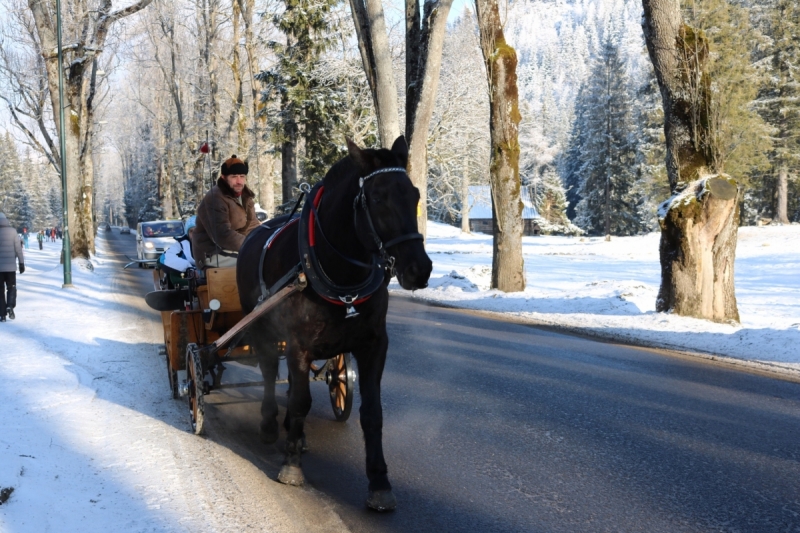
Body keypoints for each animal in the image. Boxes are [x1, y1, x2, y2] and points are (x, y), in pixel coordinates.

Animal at [236, 135, 432, 510]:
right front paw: (292, 466)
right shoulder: (298, 344)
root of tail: (257, 231)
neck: (340, 274)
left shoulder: (374, 344)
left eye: (414, 194)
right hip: (262, 327)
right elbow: (300, 401)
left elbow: (372, 413)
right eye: (377, 197)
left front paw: (379, 482)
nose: (420, 269)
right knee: (268, 372)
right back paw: (270, 425)